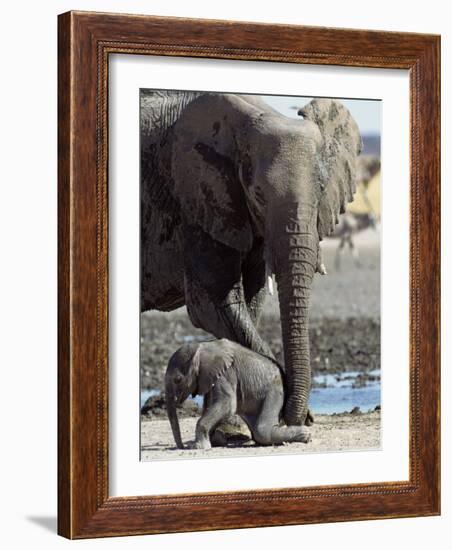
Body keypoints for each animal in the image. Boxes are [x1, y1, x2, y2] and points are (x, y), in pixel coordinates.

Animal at [139, 91, 362, 426]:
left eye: (322, 190)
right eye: (257, 194)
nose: (298, 418)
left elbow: (251, 302)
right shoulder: (196, 202)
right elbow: (215, 305)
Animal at [166, 340, 310, 452]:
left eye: (177, 380)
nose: (181, 447)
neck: (202, 346)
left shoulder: (226, 373)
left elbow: (228, 404)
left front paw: (199, 447)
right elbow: (209, 405)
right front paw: (212, 440)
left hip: (275, 390)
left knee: (262, 431)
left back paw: (305, 434)